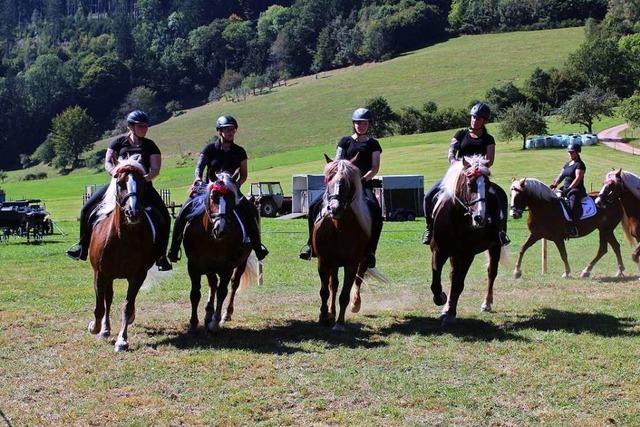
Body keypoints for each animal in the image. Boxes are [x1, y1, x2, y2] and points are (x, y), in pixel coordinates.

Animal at [87, 155, 157, 352]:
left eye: (142, 183)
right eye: (120, 183)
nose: (133, 212)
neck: (123, 239)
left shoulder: (137, 276)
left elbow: (127, 306)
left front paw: (122, 340)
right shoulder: (100, 274)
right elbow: (100, 305)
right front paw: (96, 327)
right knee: (108, 299)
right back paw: (104, 329)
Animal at [181, 172, 258, 332]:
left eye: (231, 199)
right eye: (213, 197)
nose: (220, 228)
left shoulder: (227, 267)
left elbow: (222, 292)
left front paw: (214, 323)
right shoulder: (193, 265)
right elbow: (195, 293)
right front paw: (193, 323)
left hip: (241, 262)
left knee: (233, 284)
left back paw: (225, 314)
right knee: (213, 284)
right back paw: (208, 312)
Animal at [314, 155, 376, 332]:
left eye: (348, 183)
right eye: (328, 179)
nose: (334, 208)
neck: (338, 228)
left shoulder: (351, 264)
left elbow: (344, 295)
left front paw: (340, 323)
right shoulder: (323, 261)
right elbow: (325, 291)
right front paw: (323, 317)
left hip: (363, 260)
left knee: (358, 280)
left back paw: (355, 304)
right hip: (333, 263)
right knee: (333, 286)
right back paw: (331, 312)